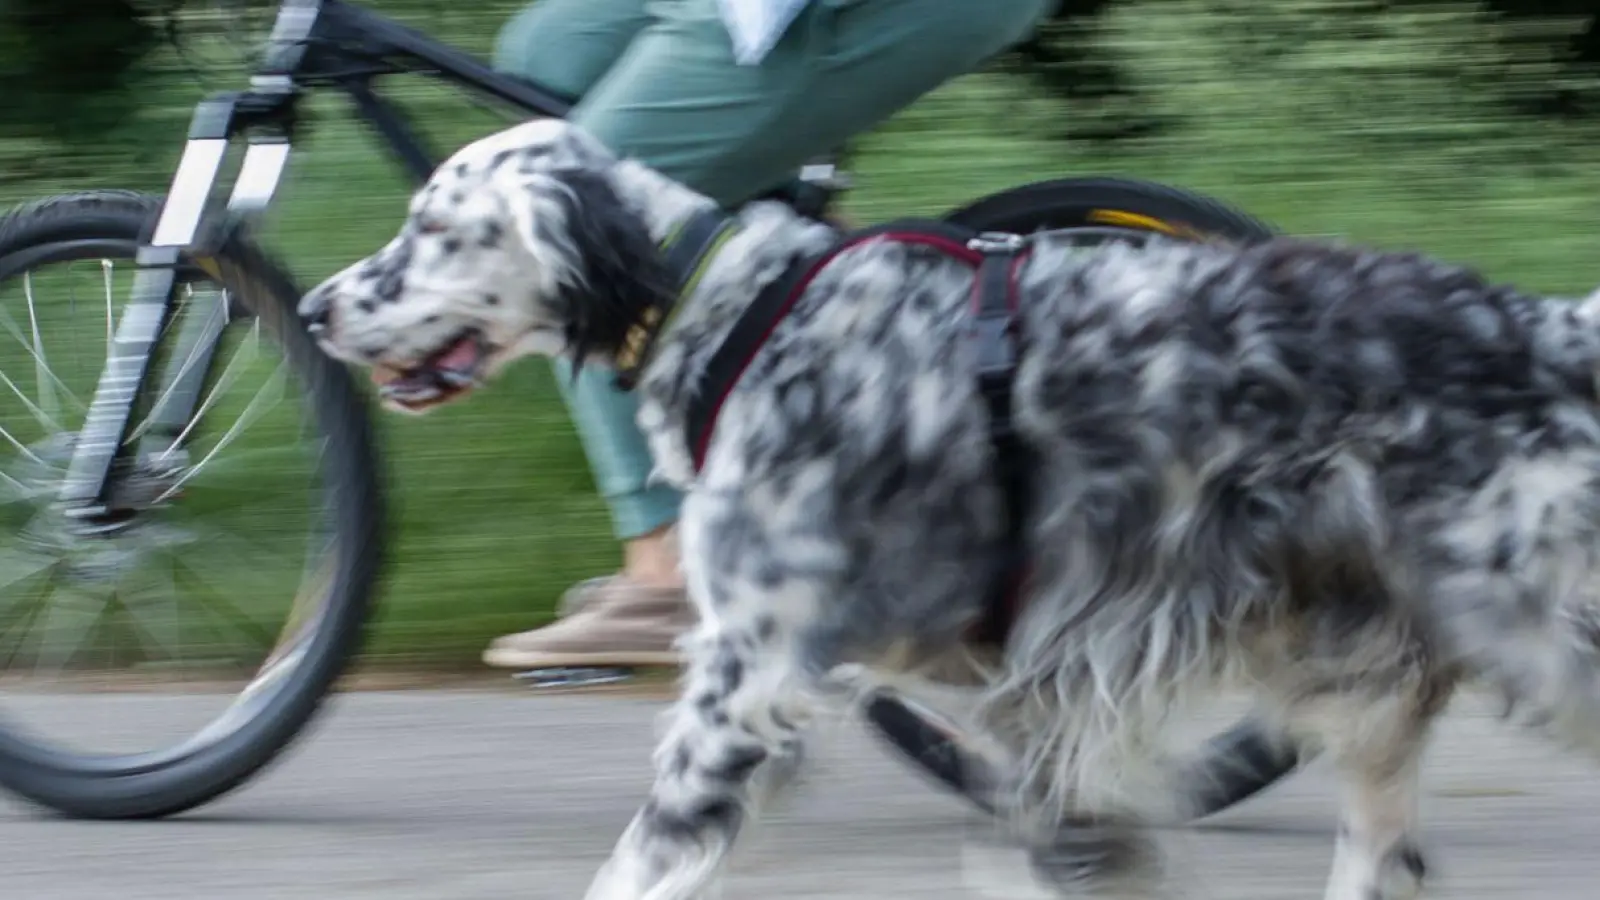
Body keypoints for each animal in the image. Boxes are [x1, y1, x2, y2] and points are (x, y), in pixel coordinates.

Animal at [302, 119, 1600, 896]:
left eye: (432, 228)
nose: (313, 308)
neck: (732, 312)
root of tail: (1547, 327)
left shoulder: (745, 680)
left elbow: (641, 861)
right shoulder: (1041, 693)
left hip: (1522, 636)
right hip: (1369, 683)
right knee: (1383, 852)